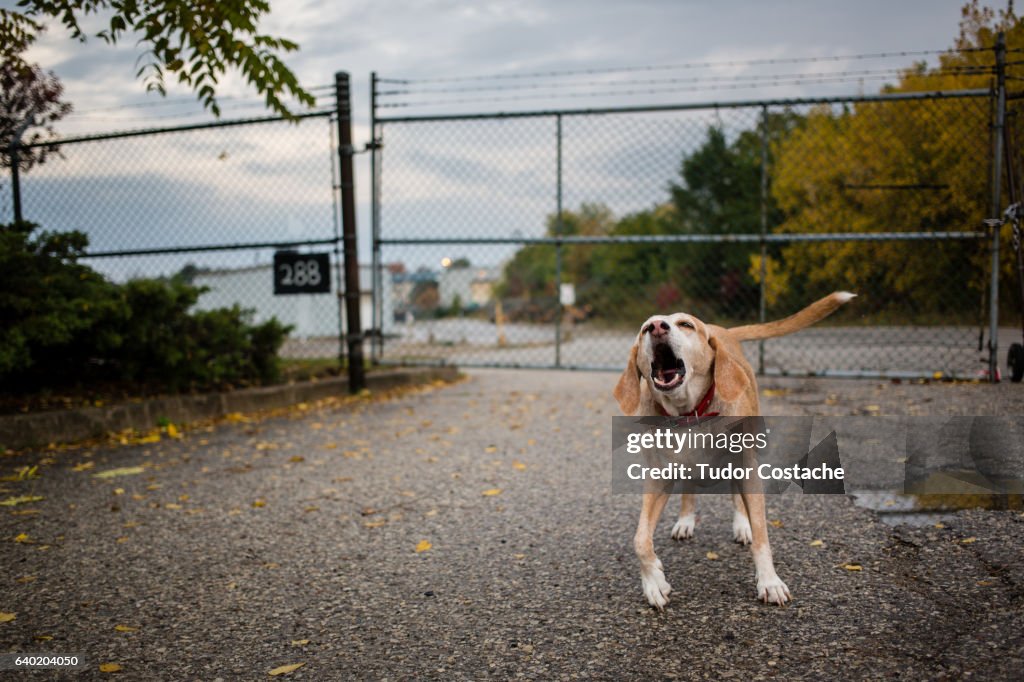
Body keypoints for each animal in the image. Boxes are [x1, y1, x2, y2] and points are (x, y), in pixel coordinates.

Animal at [610, 288, 851, 606]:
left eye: (685, 324)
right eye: (643, 328)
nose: (657, 327)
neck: (689, 415)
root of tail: (722, 330)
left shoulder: (747, 469)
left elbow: (762, 536)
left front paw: (769, 581)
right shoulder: (658, 479)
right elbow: (639, 540)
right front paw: (653, 583)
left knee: (738, 497)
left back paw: (741, 524)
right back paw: (686, 520)